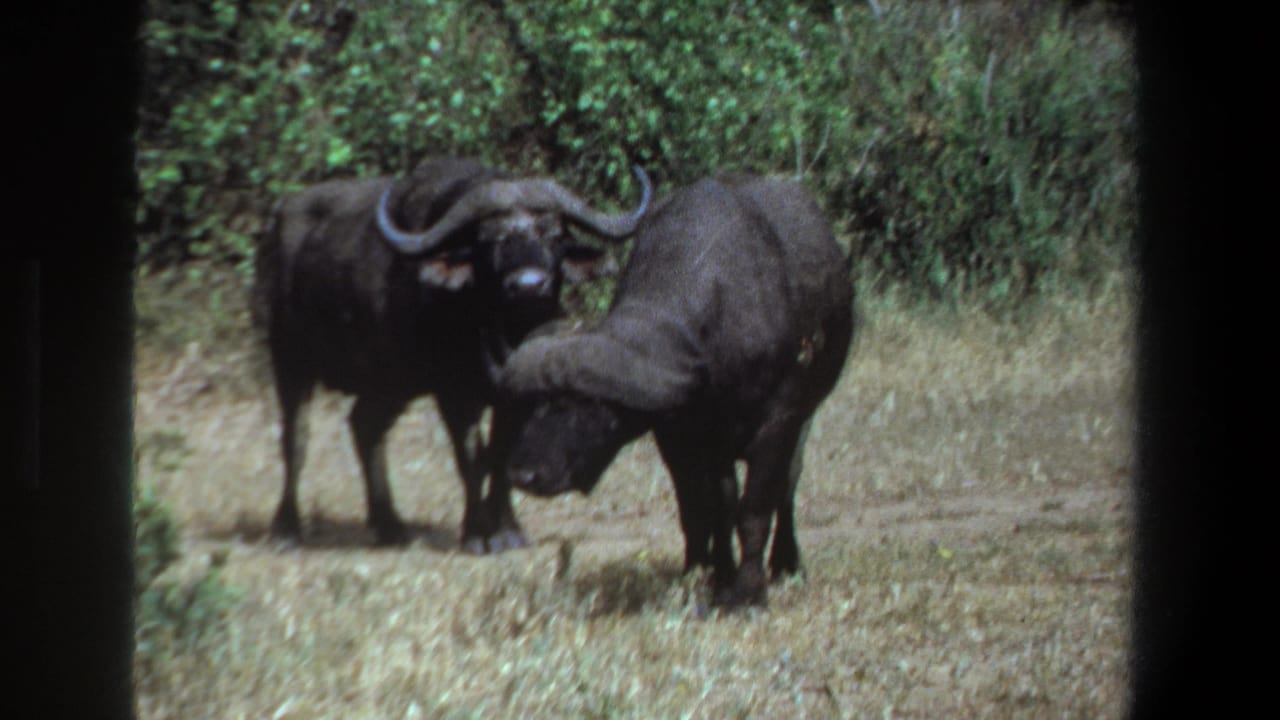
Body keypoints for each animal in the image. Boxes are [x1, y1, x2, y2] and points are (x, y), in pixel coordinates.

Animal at [252, 156, 652, 551]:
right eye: (490, 240)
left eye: (553, 235)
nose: (528, 285)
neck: (503, 334)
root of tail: (278, 219)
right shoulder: (454, 394)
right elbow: (473, 459)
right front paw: (476, 532)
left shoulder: (519, 397)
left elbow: (503, 456)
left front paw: (508, 530)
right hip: (289, 359)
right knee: (296, 438)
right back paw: (287, 529)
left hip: (392, 383)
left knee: (365, 425)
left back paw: (390, 525)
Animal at [499, 174, 854, 606]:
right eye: (530, 405)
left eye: (575, 404)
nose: (522, 473)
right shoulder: (679, 434)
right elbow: (705, 508)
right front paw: (709, 575)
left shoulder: (779, 421)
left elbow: (755, 509)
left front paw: (748, 593)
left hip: (806, 414)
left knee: (788, 484)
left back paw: (787, 563)